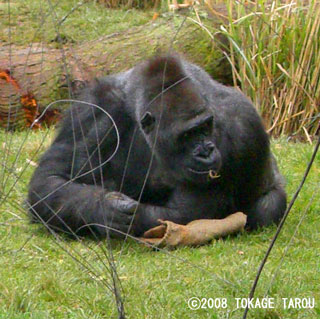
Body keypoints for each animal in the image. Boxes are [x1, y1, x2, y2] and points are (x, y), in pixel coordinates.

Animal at [28, 53, 288, 238]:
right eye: (187, 135)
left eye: (205, 127)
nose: (206, 151)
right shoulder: (94, 111)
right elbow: (50, 180)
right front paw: (101, 208)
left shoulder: (241, 127)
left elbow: (187, 215)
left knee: (268, 207)